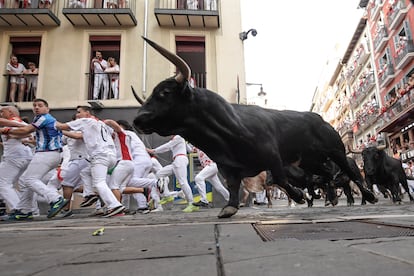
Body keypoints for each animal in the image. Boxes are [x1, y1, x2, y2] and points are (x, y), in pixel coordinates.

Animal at [133, 36, 378, 218]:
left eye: (164, 92)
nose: (138, 119)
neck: (225, 134)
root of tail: (318, 118)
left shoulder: (273, 157)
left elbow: (280, 179)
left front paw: (299, 196)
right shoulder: (228, 167)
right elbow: (233, 187)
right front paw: (230, 207)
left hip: (336, 150)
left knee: (350, 173)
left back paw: (369, 195)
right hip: (311, 160)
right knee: (327, 175)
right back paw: (333, 197)